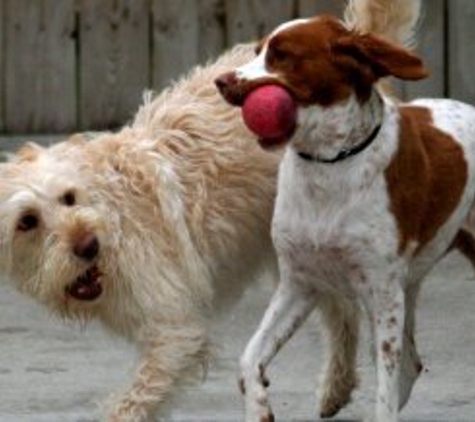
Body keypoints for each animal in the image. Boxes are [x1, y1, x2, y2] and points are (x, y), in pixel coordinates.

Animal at [0, 1, 422, 420]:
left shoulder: (176, 333)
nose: (88, 246)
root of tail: (351, 37)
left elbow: (131, 403)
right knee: (340, 312)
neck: (112, 210)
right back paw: (337, 387)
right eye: (27, 222)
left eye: (69, 197)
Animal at [218, 11, 475, 420]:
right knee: (412, 364)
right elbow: (249, 358)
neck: (327, 164)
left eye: (282, 55)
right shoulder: (299, 284)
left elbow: (384, 392)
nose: (221, 81)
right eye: (258, 51)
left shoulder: (383, 293)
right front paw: (259, 408)